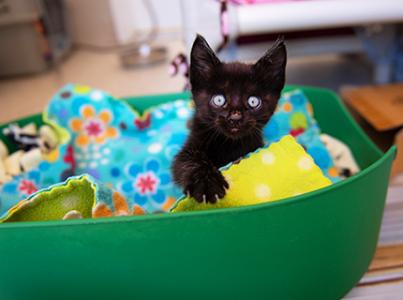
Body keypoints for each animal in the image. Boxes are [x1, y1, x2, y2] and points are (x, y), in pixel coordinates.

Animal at [171, 35, 288, 204]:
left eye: (253, 101)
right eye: (219, 100)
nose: (235, 117)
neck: (230, 144)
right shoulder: (190, 147)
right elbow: (188, 161)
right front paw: (208, 184)